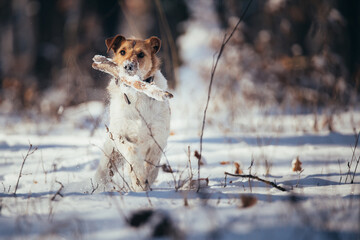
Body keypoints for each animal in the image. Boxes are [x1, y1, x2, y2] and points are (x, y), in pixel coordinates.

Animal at [94, 35, 170, 192]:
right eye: (122, 52)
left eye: (141, 54)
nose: (128, 66)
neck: (136, 93)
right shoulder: (119, 134)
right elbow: (132, 150)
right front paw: (139, 178)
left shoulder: (159, 137)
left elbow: (152, 163)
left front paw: (144, 180)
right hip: (109, 156)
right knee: (103, 174)